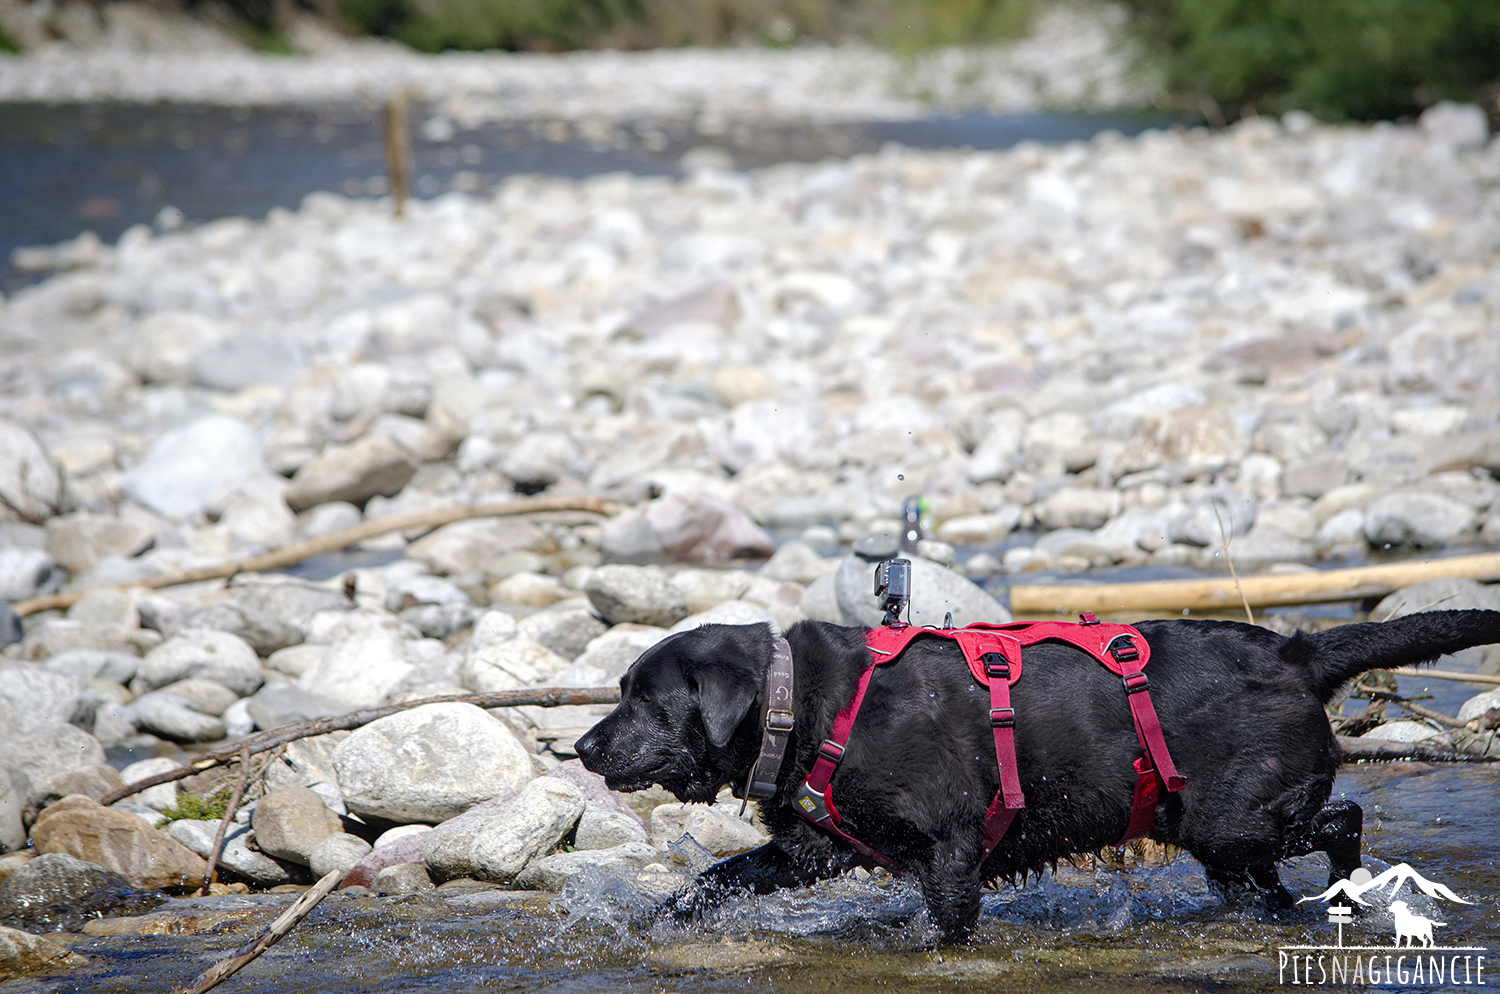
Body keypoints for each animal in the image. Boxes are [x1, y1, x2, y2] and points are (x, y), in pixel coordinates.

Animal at [573, 611, 1500, 947]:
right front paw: (654, 921)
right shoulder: (812, 850)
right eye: (621, 690)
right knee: (1271, 879)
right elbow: (716, 877)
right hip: (1227, 844)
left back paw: (1352, 892)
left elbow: (947, 923)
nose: (580, 747)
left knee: (1344, 818)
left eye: (646, 701)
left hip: (1235, 819)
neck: (804, 706)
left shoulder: (948, 850)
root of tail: (1300, 652)